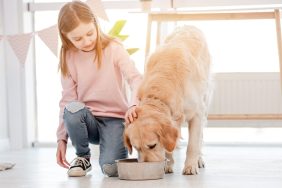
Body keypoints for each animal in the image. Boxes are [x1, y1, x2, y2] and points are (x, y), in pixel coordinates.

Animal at [123, 25, 212, 175]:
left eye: (152, 145)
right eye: (136, 148)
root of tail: (189, 26)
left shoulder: (197, 114)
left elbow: (193, 144)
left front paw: (190, 166)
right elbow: (168, 146)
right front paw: (167, 164)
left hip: (205, 100)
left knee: (200, 138)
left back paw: (199, 160)